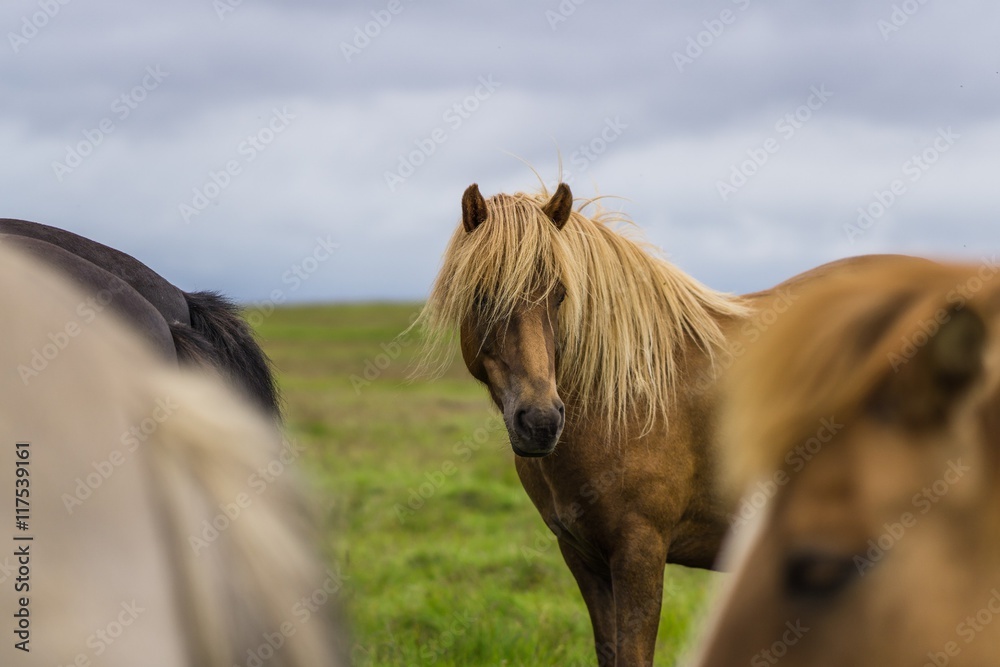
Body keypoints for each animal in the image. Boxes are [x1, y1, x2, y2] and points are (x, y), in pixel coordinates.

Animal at [414, 181, 930, 665]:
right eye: (482, 296)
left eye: (560, 294)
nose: (539, 421)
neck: (622, 399)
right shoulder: (582, 557)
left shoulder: (640, 552)